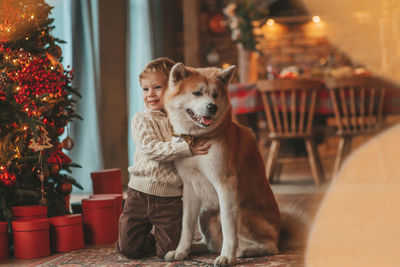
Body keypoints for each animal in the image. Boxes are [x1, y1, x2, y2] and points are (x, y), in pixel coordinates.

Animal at [164, 63, 280, 266]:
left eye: (215, 94)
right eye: (197, 93)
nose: (212, 107)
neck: (198, 139)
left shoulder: (225, 183)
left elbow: (228, 225)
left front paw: (227, 256)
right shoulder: (189, 187)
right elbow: (186, 225)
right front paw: (180, 251)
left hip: (241, 212)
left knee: (271, 247)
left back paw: (242, 251)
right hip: (205, 213)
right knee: (210, 243)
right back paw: (196, 248)